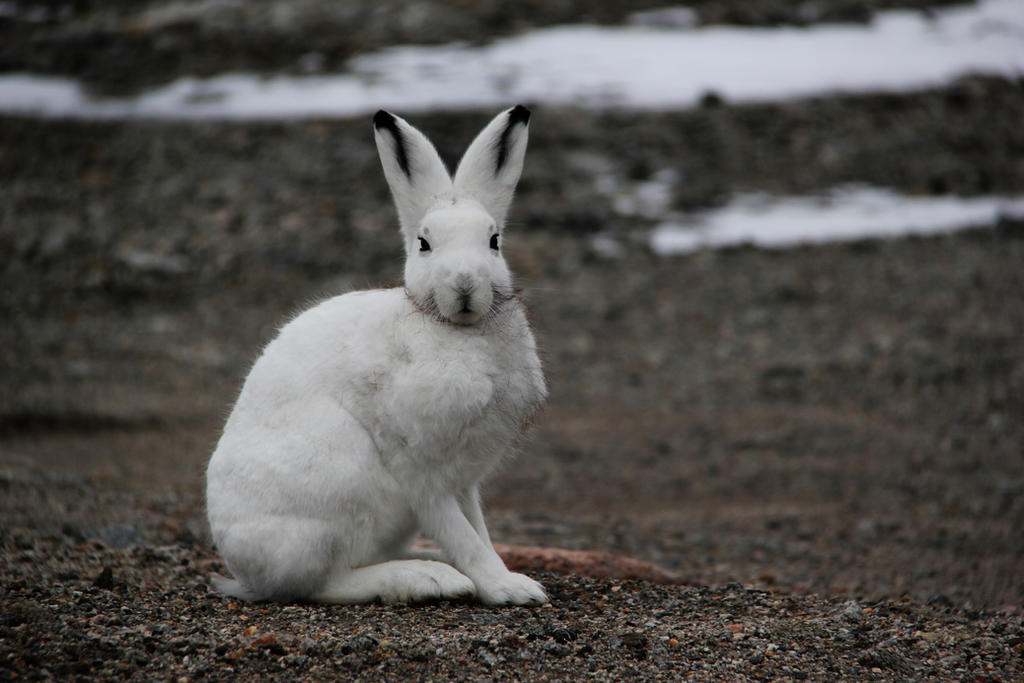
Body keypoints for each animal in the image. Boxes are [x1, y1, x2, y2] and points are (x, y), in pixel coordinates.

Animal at [205, 105, 548, 606]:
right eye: (424, 244)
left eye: (494, 241)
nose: (465, 284)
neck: (453, 329)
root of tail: (245, 571)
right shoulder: (420, 469)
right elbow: (461, 534)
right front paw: (510, 588)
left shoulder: (464, 479)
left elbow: (477, 530)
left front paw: (505, 577)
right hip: (340, 482)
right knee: (324, 583)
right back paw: (427, 578)